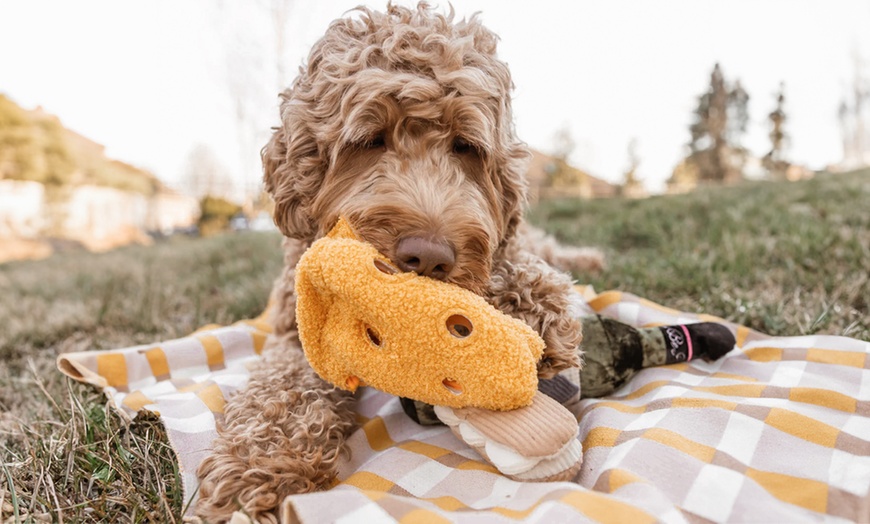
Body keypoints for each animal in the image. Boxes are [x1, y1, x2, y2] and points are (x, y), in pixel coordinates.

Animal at [198, 3, 608, 520]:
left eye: (465, 146)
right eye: (371, 140)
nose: (429, 256)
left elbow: (520, 265)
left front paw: (534, 307)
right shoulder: (291, 334)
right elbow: (281, 390)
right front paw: (255, 469)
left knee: (549, 246)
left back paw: (590, 261)